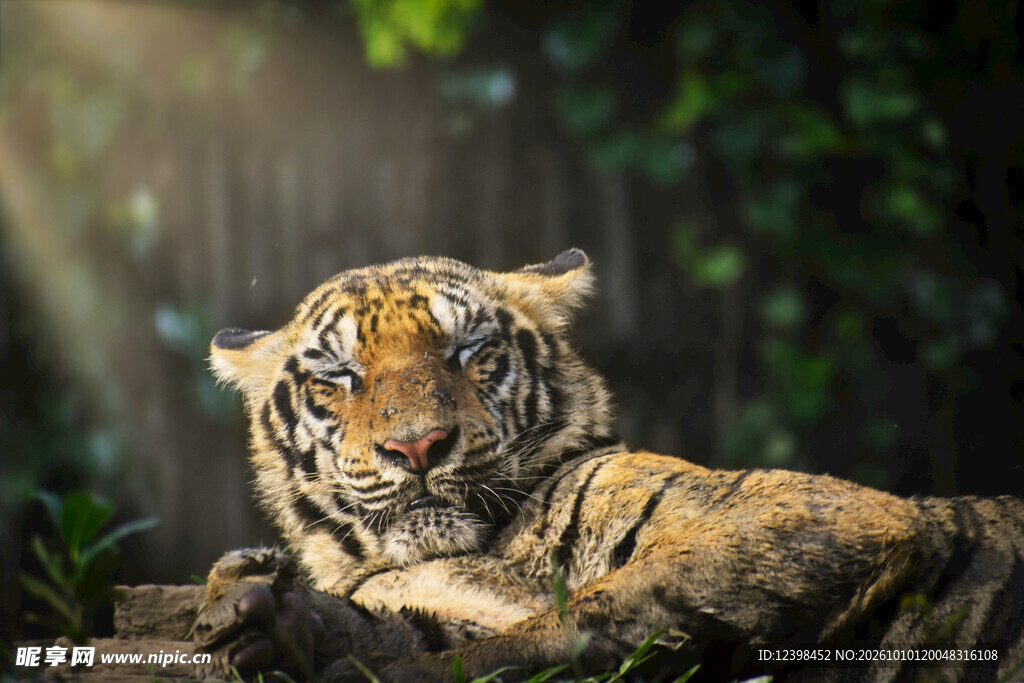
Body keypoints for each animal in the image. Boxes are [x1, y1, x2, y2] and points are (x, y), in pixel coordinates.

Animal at [194, 249, 1024, 682]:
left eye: (469, 350)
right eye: (340, 376)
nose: (419, 446)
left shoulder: (820, 513)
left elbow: (590, 606)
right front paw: (278, 623)